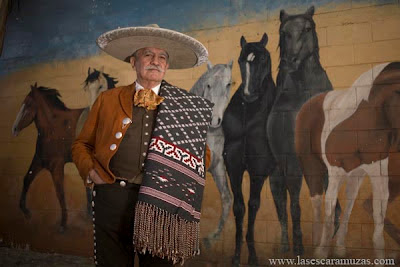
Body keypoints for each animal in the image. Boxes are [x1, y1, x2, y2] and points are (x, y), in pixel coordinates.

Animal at [268, 6, 340, 256]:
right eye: (283, 32)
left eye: (308, 29)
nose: (289, 61)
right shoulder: (293, 163)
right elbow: (294, 206)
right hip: (281, 171)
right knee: (283, 206)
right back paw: (289, 246)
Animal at [296, 61, 400, 262]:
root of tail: (308, 104)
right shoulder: (335, 172)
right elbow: (329, 210)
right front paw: (321, 252)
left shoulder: (377, 172)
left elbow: (378, 217)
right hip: (311, 166)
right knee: (317, 201)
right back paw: (316, 241)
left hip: (355, 176)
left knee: (349, 203)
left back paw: (339, 247)